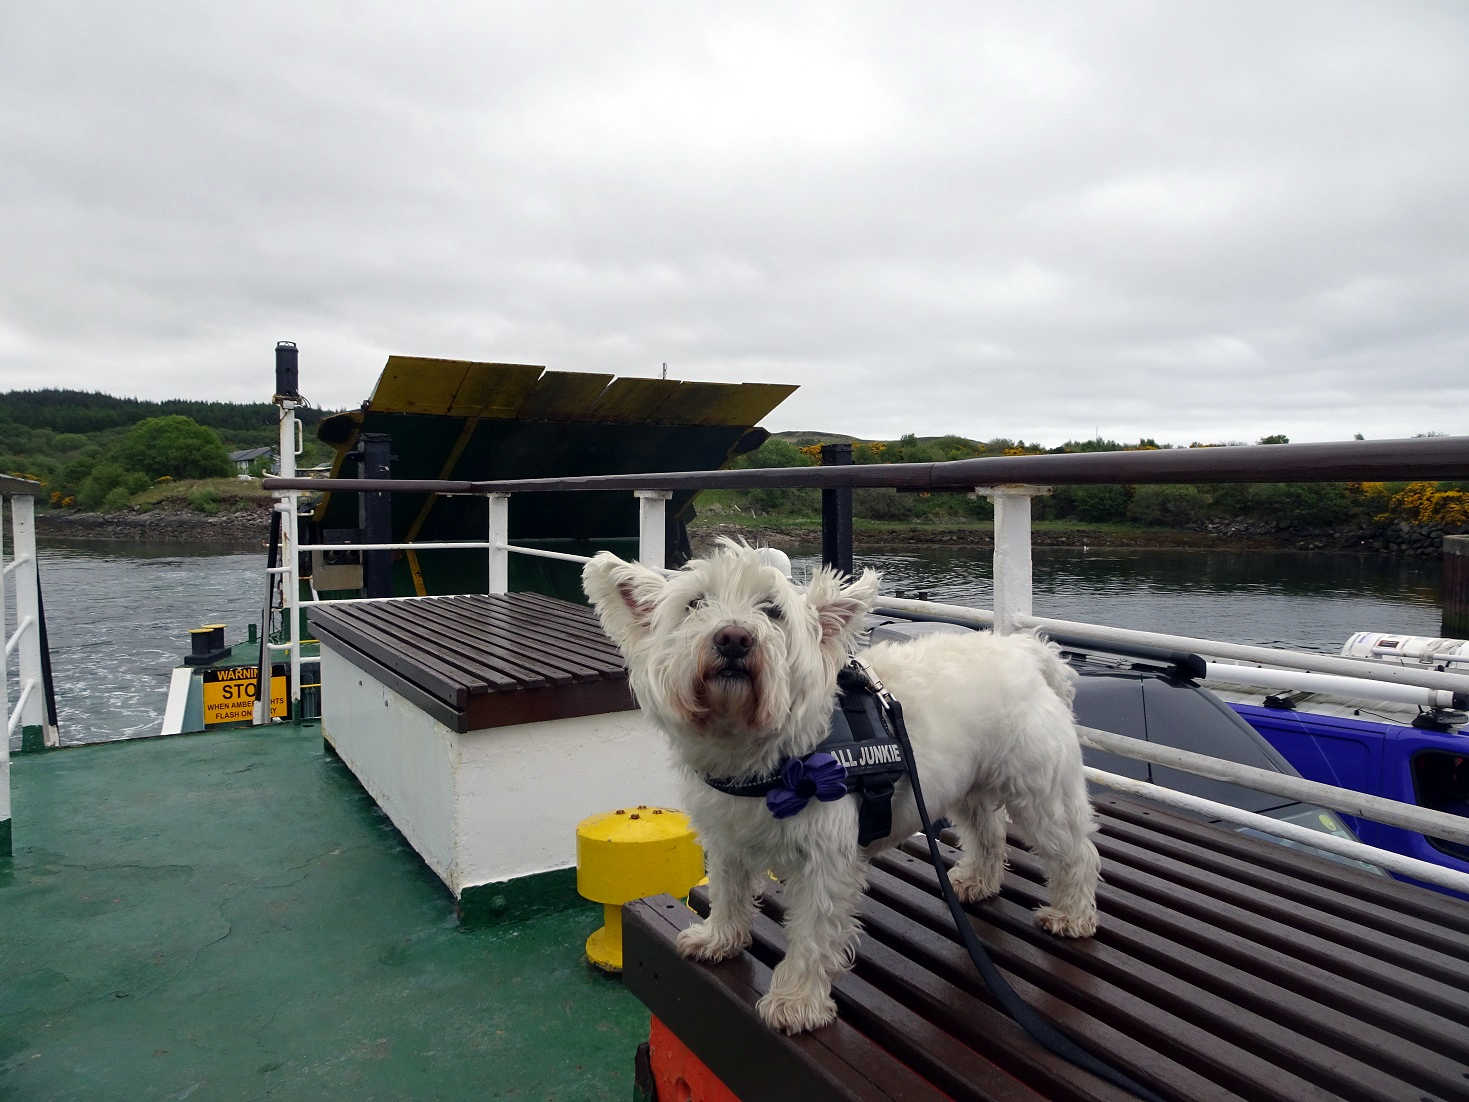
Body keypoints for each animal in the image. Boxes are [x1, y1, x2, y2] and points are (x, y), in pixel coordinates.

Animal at [578, 540, 1098, 1034]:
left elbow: (812, 932)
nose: (733, 638)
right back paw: (977, 882)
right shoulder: (726, 838)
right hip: (968, 783)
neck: (757, 755)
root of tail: (1027, 652)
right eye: (694, 604)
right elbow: (728, 891)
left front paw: (797, 1002)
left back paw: (1071, 915)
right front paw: (718, 939)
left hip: (1041, 790)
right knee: (988, 832)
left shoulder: (824, 858)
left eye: (772, 610)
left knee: (1075, 852)